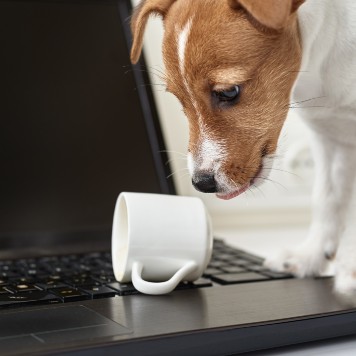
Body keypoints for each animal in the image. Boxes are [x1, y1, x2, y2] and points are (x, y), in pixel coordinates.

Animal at [129, 0, 356, 298]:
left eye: (228, 92)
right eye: (179, 99)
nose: (202, 184)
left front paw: (351, 270)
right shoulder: (328, 134)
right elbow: (327, 199)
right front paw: (308, 258)